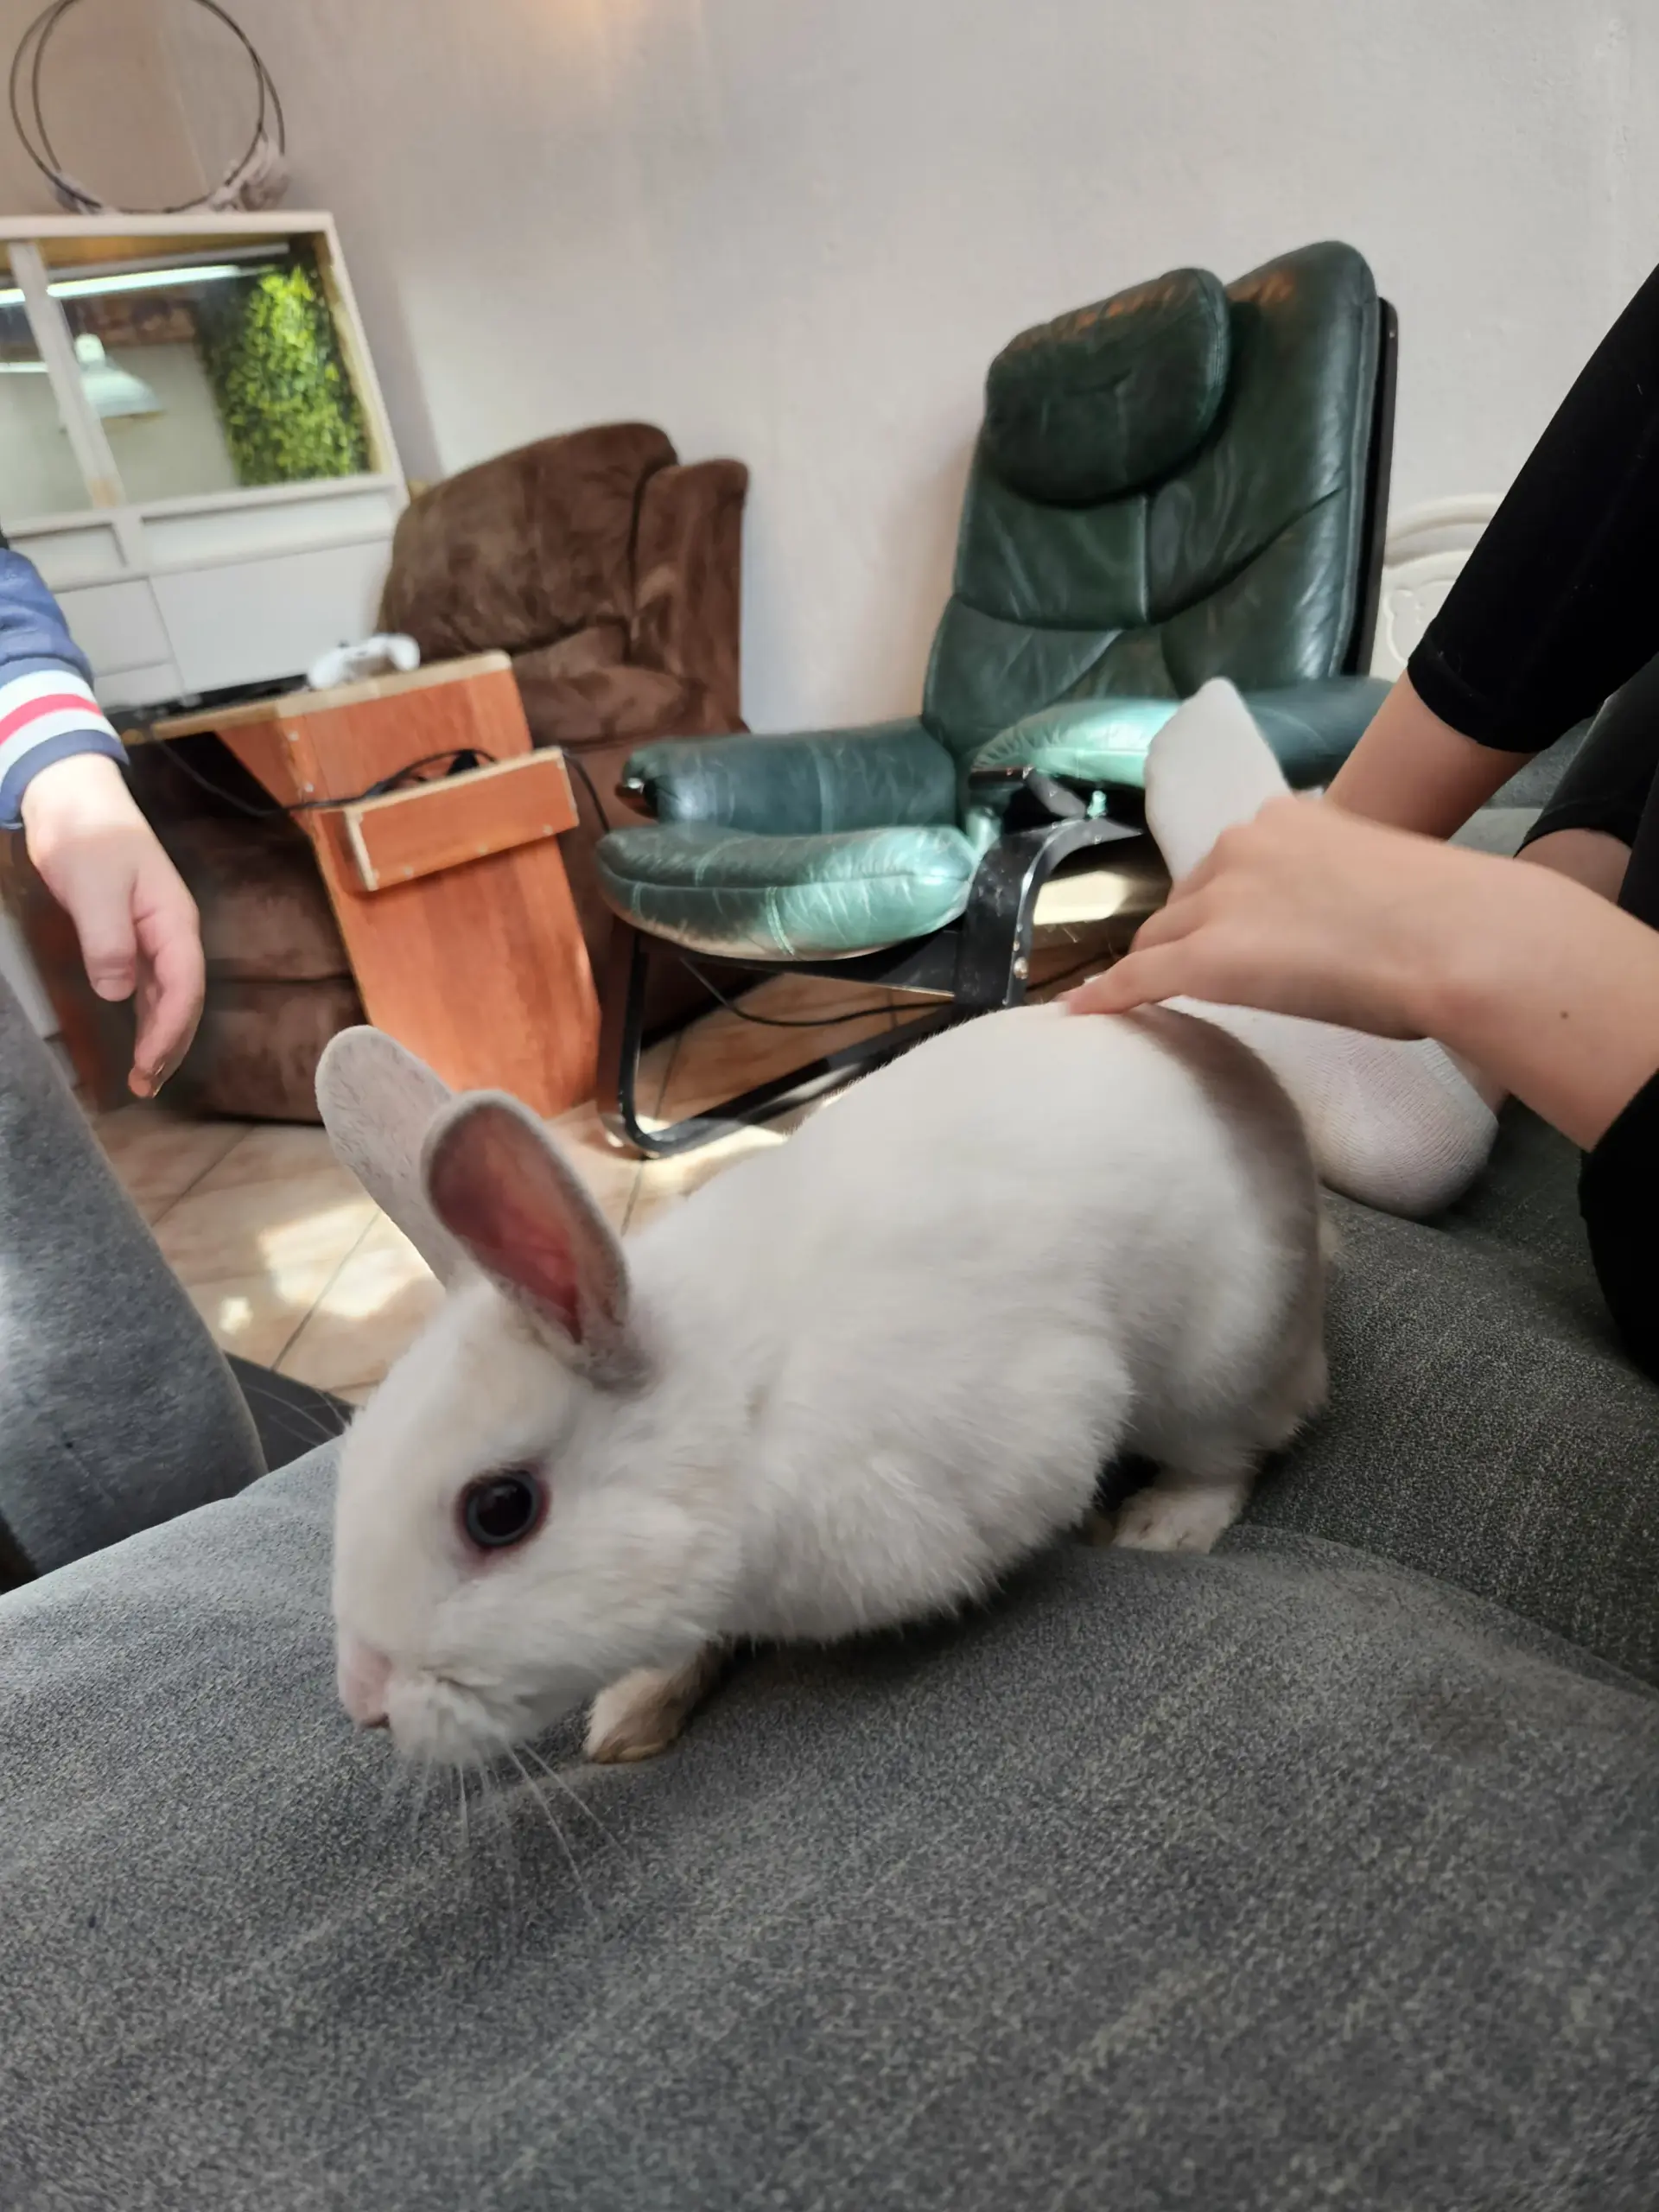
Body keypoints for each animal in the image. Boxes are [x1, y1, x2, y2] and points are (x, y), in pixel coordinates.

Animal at [317, 1000, 1328, 1771]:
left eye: (500, 1510)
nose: (364, 1702)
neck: (744, 1416)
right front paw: (631, 1716)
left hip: (1210, 1369)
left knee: (1240, 1446)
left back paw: (1165, 1524)